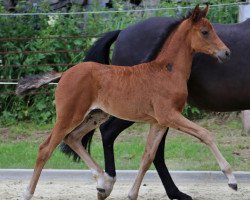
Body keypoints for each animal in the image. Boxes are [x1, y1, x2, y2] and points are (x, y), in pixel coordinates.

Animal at [17, 4, 234, 200]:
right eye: (205, 32)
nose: (226, 52)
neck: (167, 71)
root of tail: (64, 74)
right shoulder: (169, 115)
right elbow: (205, 134)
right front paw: (231, 180)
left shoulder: (159, 122)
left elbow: (147, 157)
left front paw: (131, 194)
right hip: (69, 115)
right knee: (45, 148)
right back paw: (28, 193)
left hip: (95, 115)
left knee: (73, 138)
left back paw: (104, 183)